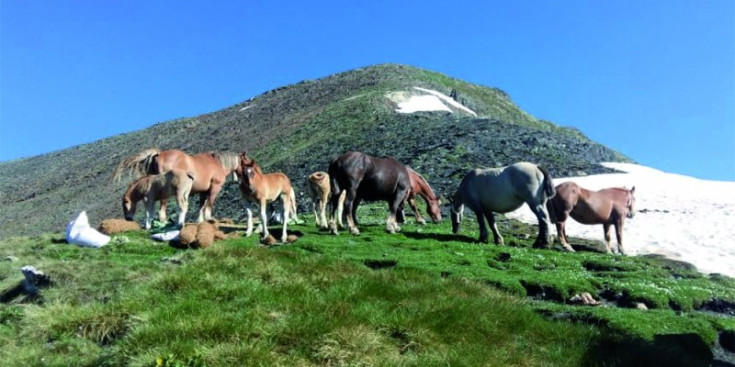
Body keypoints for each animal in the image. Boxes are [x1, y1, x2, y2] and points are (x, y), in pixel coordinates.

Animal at [112, 148, 240, 223]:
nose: (128, 219)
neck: (217, 163)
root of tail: (159, 154)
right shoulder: (214, 188)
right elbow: (210, 203)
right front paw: (209, 218)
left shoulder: (202, 191)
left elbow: (201, 205)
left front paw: (200, 220)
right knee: (162, 206)